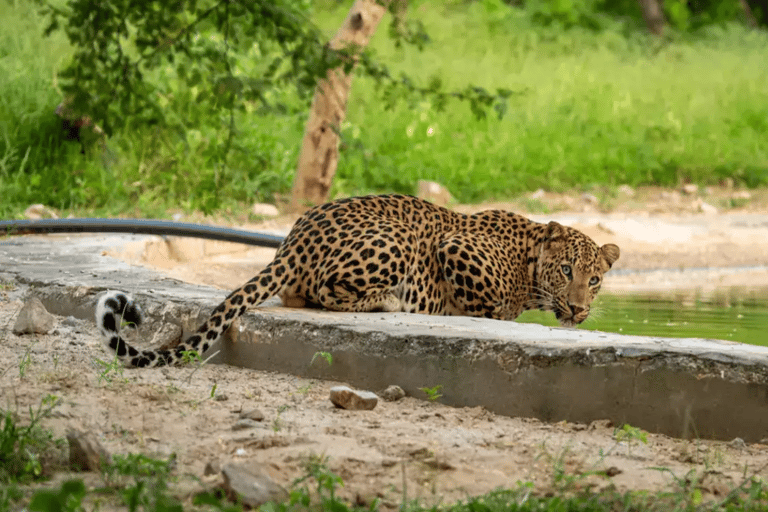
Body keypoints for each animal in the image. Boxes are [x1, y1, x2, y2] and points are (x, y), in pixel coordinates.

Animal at [96, 194, 620, 366]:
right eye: (567, 271)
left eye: (595, 279)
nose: (579, 308)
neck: (529, 261)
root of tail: (293, 239)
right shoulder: (454, 246)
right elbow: (490, 307)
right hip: (398, 240)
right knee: (328, 292)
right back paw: (388, 300)